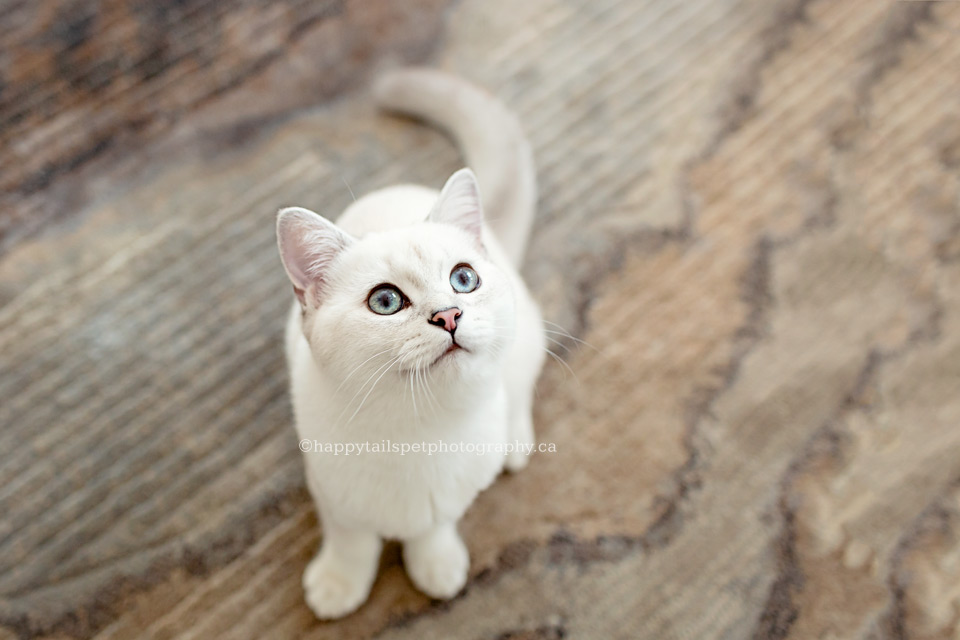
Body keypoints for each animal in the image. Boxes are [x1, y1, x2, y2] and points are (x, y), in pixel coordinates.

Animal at [278, 69, 548, 620]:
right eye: (385, 301)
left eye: (463, 279)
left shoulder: (451, 498)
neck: (418, 432)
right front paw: (340, 584)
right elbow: (351, 540)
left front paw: (436, 566)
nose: (448, 315)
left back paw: (514, 442)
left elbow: (433, 527)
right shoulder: (331, 492)